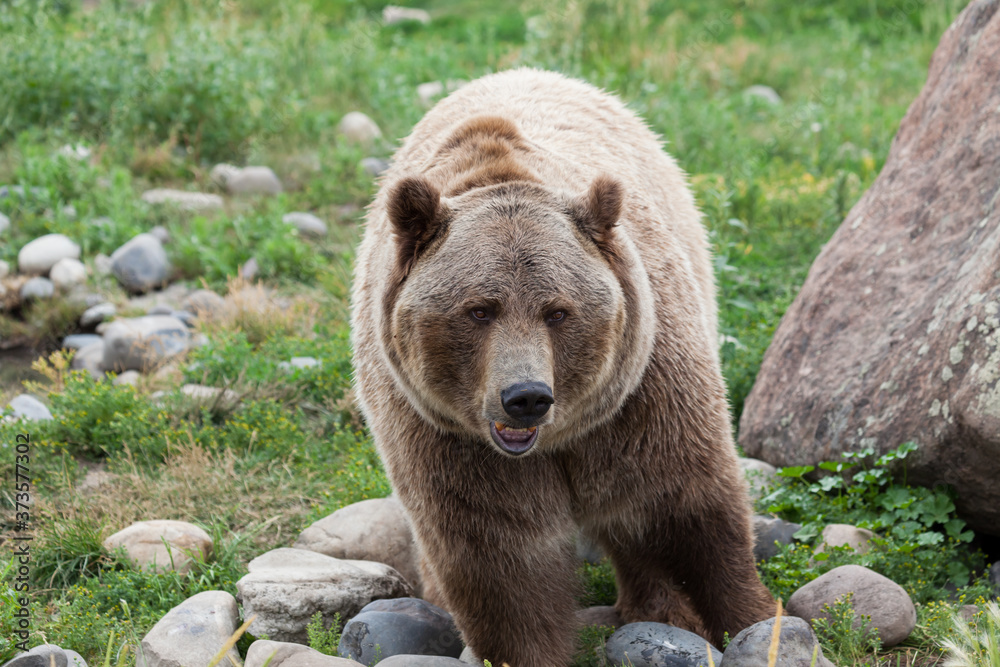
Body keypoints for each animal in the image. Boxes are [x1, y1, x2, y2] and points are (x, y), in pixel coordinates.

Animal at [351, 68, 775, 667]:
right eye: (479, 309)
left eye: (557, 310)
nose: (526, 396)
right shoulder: (449, 442)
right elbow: (504, 566)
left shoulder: (642, 396)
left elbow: (682, 513)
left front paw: (746, 619)